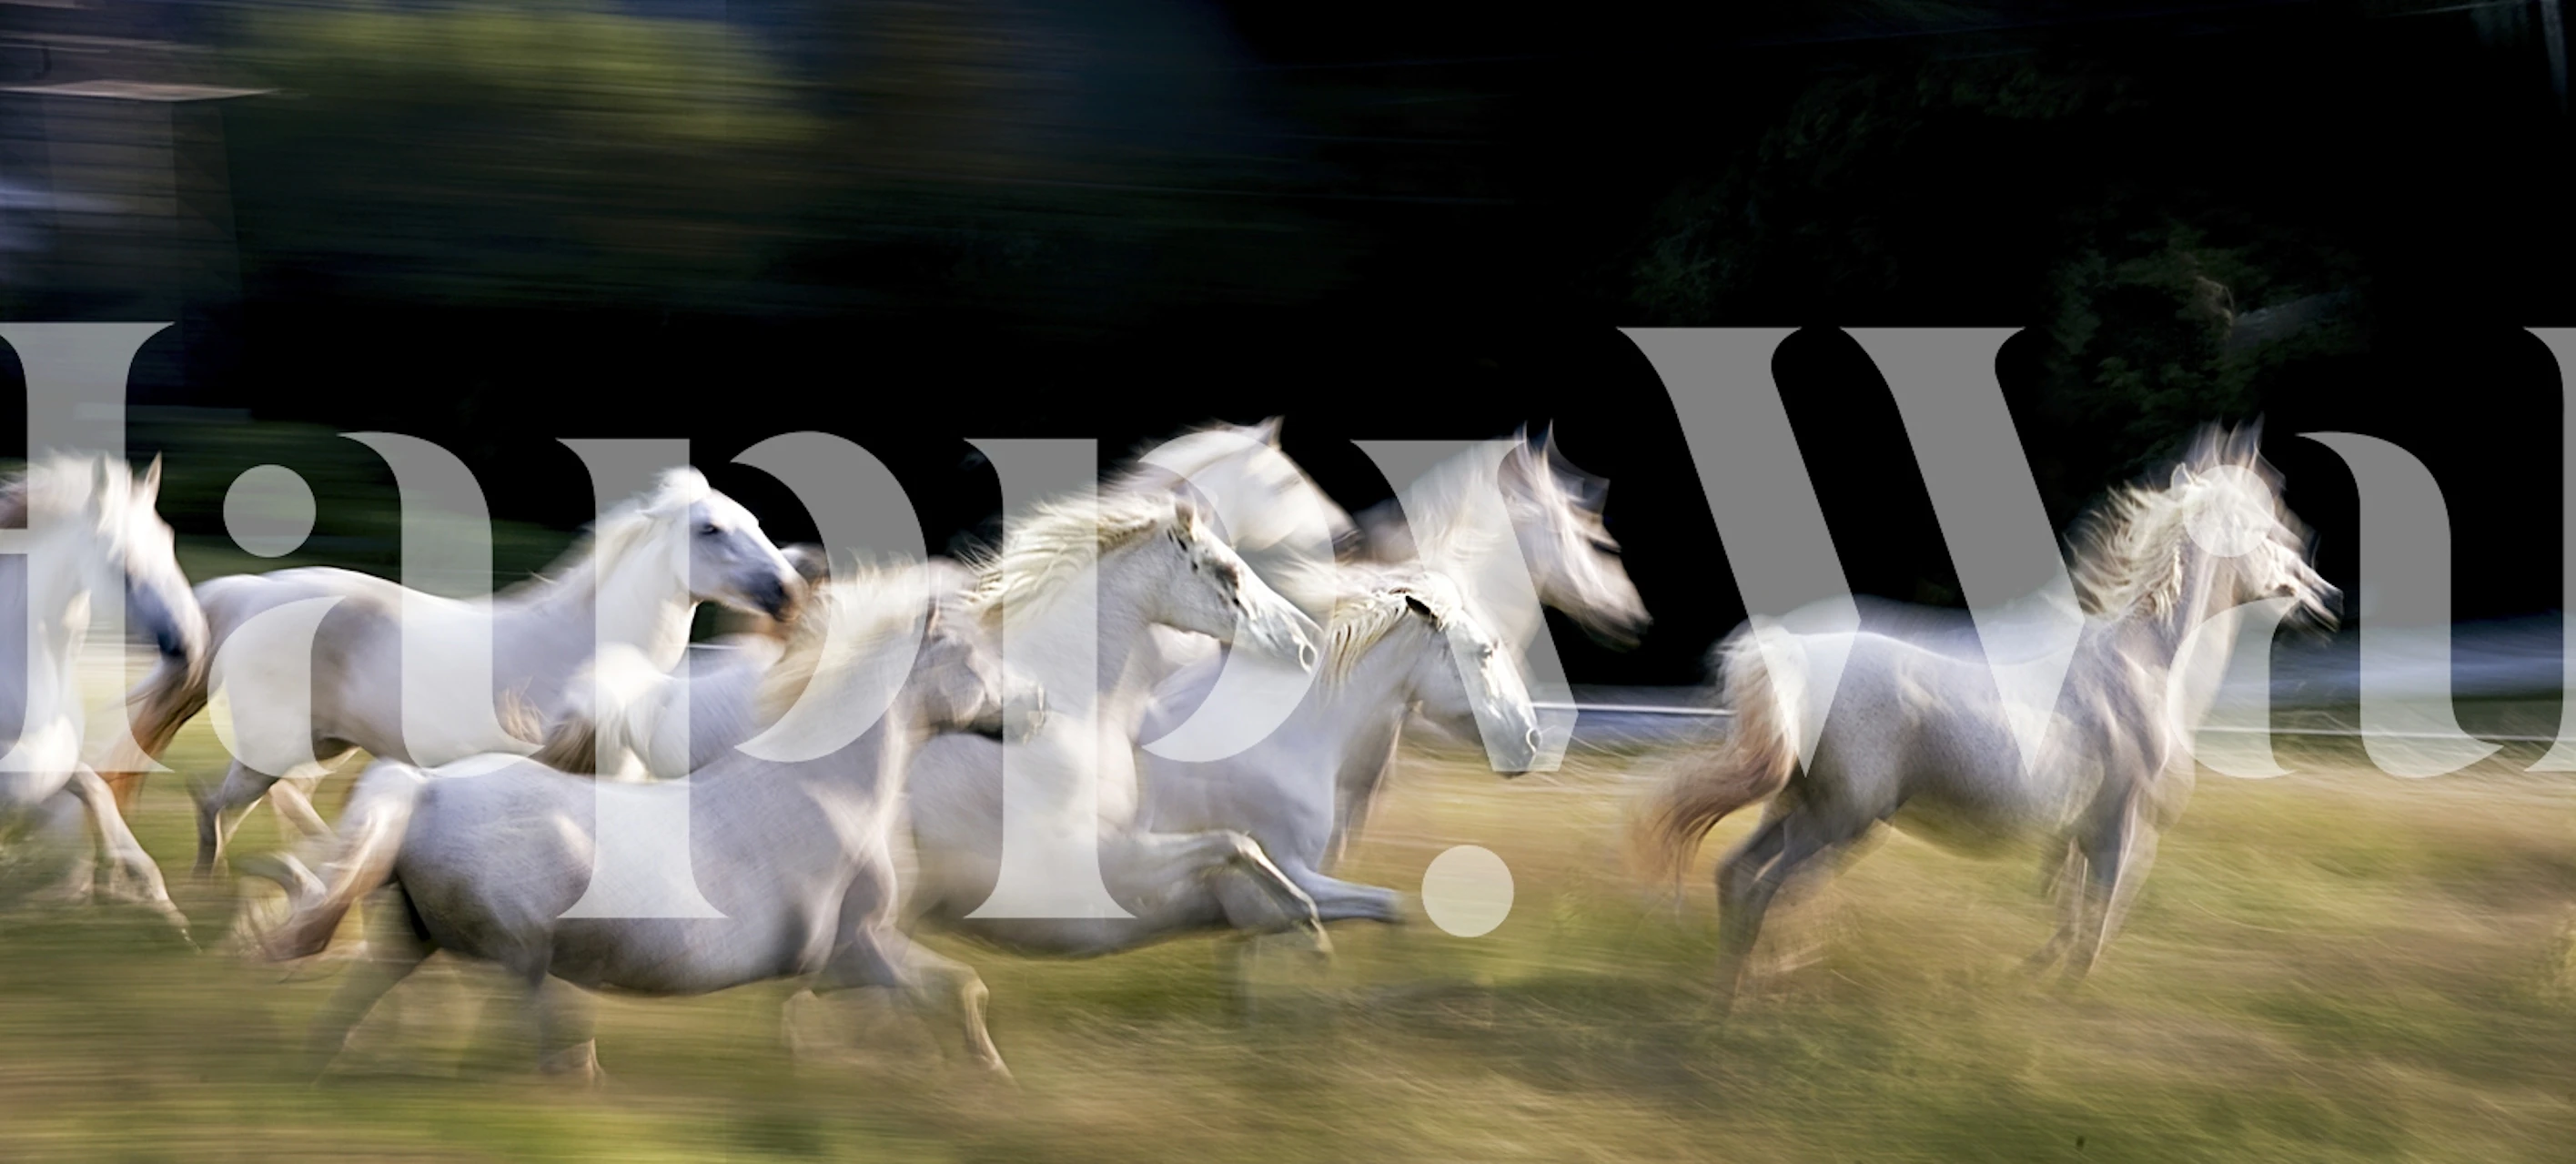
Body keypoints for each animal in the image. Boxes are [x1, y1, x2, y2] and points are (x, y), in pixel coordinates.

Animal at [0, 454, 207, 941]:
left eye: (168, 542)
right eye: (122, 568)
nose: (192, 643)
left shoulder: (57, 757)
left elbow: (94, 788)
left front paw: (147, 899)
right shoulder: (19, 768)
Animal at [101, 466, 806, 876]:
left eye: (756, 523)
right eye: (711, 529)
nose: (791, 592)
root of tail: (250, 592)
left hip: (323, 746)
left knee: (264, 804)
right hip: (273, 749)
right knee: (218, 810)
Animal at [258, 559, 1034, 1083]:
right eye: (975, 655)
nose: (1037, 706)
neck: (829, 788)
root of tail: (423, 791)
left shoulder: (853, 954)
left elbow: (936, 992)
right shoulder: (854, 947)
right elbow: (960, 988)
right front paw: (987, 1076)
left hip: (410, 939)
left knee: (354, 1007)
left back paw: (321, 1070)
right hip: (524, 954)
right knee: (548, 1029)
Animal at [1634, 423, 2338, 1015]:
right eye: (2270, 538)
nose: (2324, 596)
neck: (2149, 672)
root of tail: (1791, 661)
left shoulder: (2082, 834)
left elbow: (2073, 916)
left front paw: (2027, 980)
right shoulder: (2123, 827)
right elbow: (2098, 920)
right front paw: (2064, 996)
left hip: (1794, 807)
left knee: (1736, 876)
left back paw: (1735, 994)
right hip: (1838, 820)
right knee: (1764, 890)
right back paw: (1742, 1004)